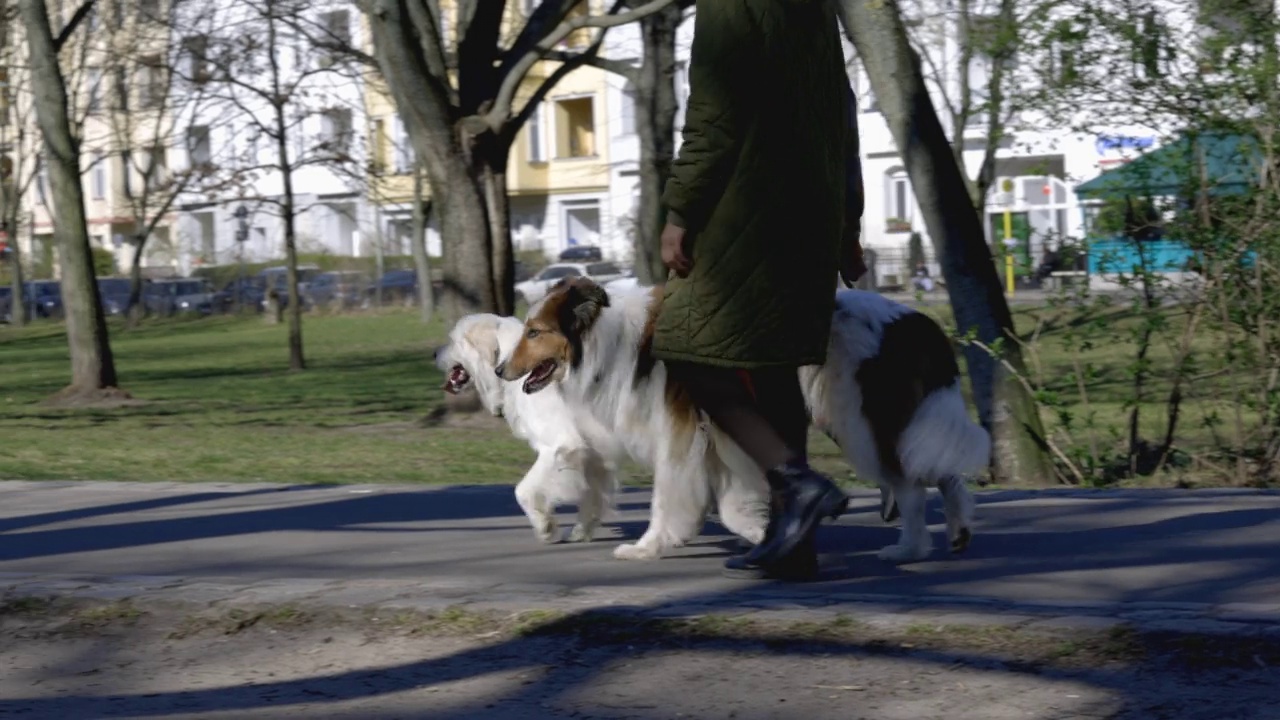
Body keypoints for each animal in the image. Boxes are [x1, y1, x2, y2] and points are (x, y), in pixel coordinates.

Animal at [435, 311, 624, 540]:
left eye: (453, 340)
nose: (433, 354)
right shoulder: (592, 455)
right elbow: (592, 496)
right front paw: (581, 530)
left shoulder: (562, 446)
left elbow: (523, 490)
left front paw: (545, 526)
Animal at [494, 278, 983, 563]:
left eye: (534, 332)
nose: (499, 370)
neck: (608, 341)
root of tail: (916, 321)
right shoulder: (717, 440)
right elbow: (732, 504)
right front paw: (766, 532)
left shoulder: (680, 436)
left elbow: (668, 501)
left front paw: (649, 546)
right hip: (887, 422)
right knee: (940, 472)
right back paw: (957, 532)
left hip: (861, 423)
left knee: (910, 485)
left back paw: (909, 549)